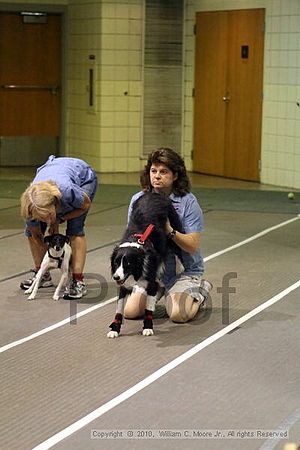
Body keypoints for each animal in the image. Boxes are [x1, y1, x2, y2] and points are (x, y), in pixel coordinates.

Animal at [108, 192, 182, 338]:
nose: (116, 277)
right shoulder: (123, 286)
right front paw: (115, 329)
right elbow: (119, 309)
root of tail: (155, 193)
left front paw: (147, 327)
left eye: (128, 263)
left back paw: (180, 266)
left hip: (174, 224)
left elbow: (148, 308)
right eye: (116, 262)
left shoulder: (151, 284)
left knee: (179, 248)